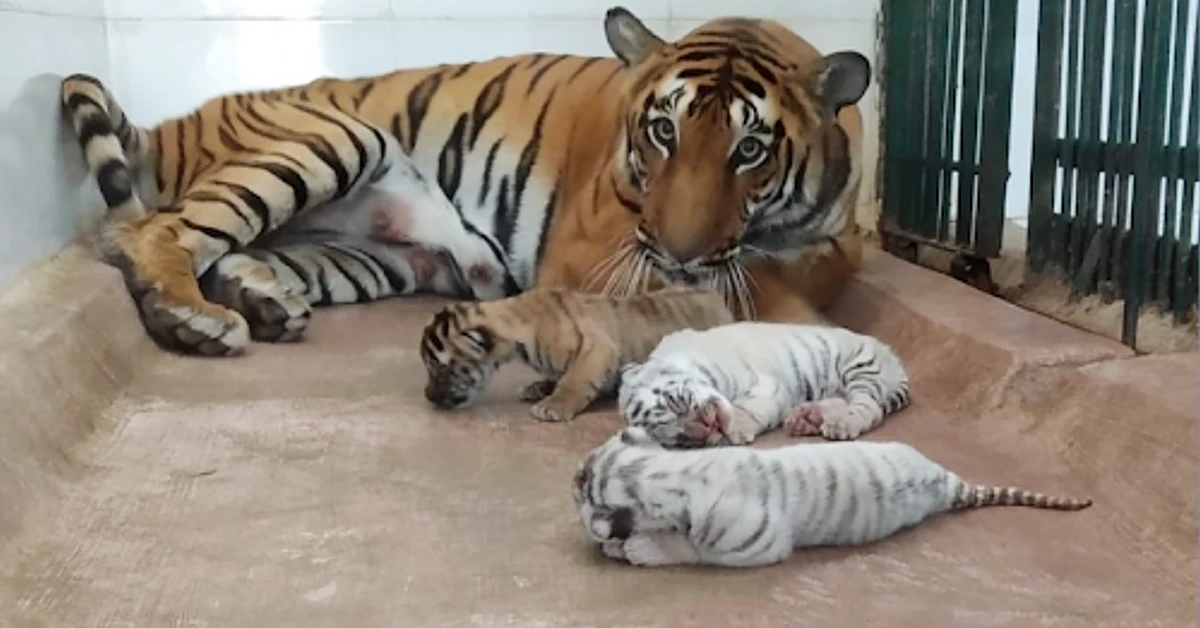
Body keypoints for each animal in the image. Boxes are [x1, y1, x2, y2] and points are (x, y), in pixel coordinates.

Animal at [60, 7, 868, 355]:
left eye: (750, 149)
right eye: (663, 131)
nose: (681, 251)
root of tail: (176, 122)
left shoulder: (830, 243)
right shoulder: (598, 256)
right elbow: (741, 294)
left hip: (368, 257)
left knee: (224, 252)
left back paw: (259, 304)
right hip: (332, 139)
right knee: (153, 232)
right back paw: (196, 319)